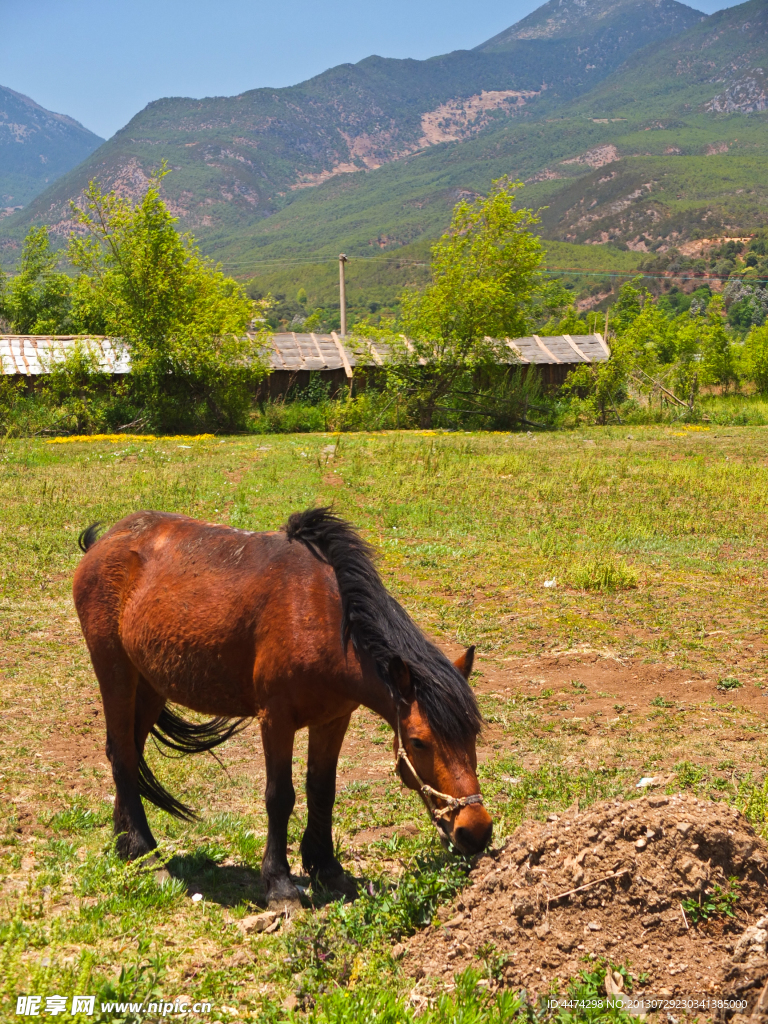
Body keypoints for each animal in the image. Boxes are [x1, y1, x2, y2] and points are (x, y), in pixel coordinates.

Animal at [73, 507, 493, 909]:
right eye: (419, 742)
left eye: (474, 733)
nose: (476, 830)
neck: (322, 618)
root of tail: (101, 543)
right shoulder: (276, 719)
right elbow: (280, 797)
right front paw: (280, 884)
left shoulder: (334, 718)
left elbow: (322, 789)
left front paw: (327, 868)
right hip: (116, 672)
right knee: (123, 755)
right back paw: (147, 856)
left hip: (150, 685)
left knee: (127, 754)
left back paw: (126, 845)